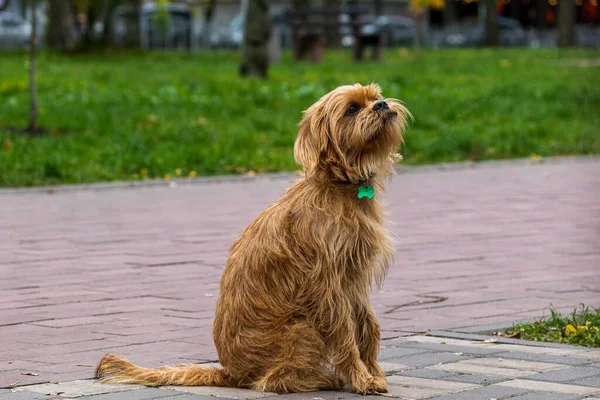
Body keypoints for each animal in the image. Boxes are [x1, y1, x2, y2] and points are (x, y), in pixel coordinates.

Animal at [96, 83, 410, 394]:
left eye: (376, 97)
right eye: (352, 109)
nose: (382, 105)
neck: (339, 186)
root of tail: (231, 373)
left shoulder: (355, 280)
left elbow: (369, 325)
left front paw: (374, 373)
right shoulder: (328, 286)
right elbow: (344, 333)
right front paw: (361, 379)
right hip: (302, 327)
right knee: (272, 381)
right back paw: (321, 379)